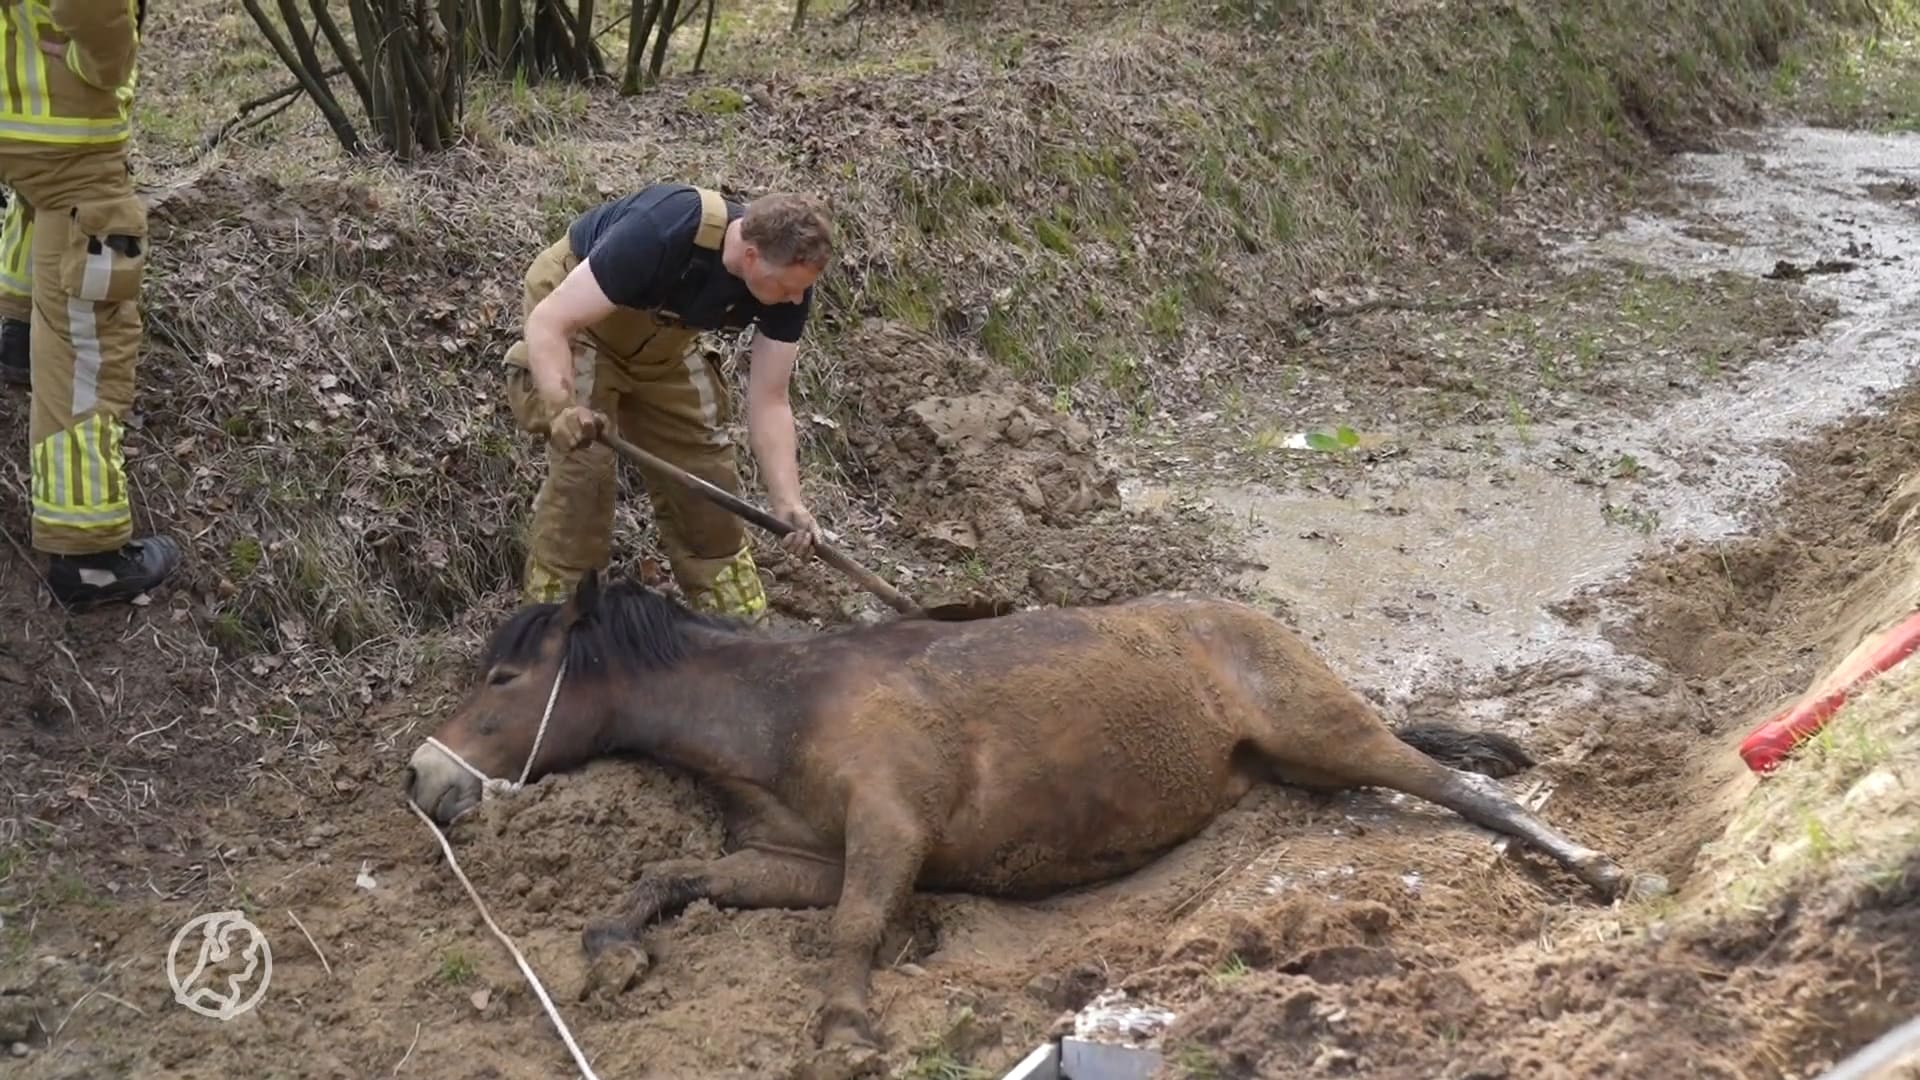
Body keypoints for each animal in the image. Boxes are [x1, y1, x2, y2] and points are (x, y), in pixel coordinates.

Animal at [405, 570, 1634, 1049]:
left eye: (504, 679)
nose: (421, 780)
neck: (780, 711)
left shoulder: (890, 833)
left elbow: (856, 929)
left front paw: (845, 1025)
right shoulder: (802, 860)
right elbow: (671, 879)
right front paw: (613, 951)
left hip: (1327, 734)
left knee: (1461, 786)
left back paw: (1594, 867)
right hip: (1292, 765)